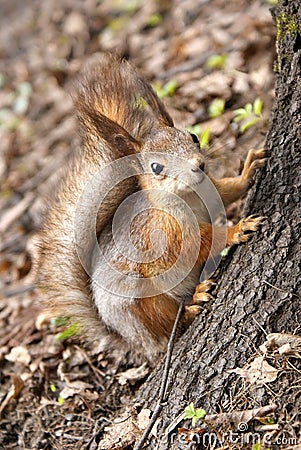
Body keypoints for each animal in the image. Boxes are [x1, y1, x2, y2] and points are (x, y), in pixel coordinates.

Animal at [37, 52, 264, 364]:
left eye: (193, 136)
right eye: (156, 167)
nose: (198, 166)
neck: (191, 197)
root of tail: (133, 342)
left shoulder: (213, 191)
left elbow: (228, 190)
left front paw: (248, 170)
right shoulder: (166, 234)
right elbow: (199, 243)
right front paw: (237, 229)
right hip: (142, 306)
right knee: (167, 326)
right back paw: (193, 304)